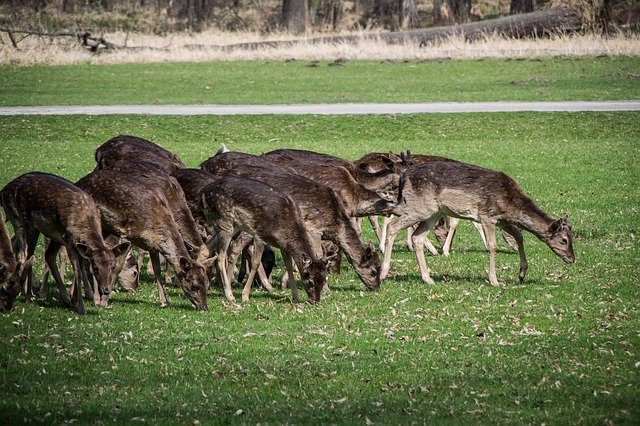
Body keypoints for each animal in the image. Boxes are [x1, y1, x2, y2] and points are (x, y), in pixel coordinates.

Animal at [0, 171, 130, 314]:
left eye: (113, 267)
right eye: (95, 268)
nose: (106, 290)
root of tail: (4, 190)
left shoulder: (76, 244)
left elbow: (80, 266)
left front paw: (74, 301)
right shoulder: (69, 241)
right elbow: (78, 271)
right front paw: (81, 308)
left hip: (52, 233)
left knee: (45, 255)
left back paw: (63, 298)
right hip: (21, 220)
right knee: (24, 255)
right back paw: (29, 296)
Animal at [75, 168, 210, 312]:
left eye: (207, 284)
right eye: (194, 285)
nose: (204, 307)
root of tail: (80, 181)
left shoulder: (153, 246)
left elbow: (157, 270)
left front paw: (165, 302)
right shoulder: (128, 234)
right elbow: (118, 267)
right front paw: (104, 302)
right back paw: (95, 298)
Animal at [200, 176, 328, 302]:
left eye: (323, 280)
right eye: (310, 281)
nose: (316, 300)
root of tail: (203, 192)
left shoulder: (283, 245)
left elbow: (289, 265)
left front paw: (296, 297)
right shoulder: (260, 235)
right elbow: (256, 263)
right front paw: (245, 296)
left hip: (228, 226)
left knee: (205, 247)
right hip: (225, 223)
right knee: (220, 256)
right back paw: (229, 295)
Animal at [380, 161, 576, 288]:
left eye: (571, 238)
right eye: (564, 240)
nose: (572, 258)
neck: (511, 205)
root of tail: (404, 176)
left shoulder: (503, 220)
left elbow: (519, 236)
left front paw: (521, 274)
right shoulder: (487, 216)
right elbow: (492, 245)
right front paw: (495, 281)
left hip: (433, 213)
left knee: (417, 237)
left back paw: (428, 279)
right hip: (419, 207)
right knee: (392, 226)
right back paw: (383, 273)